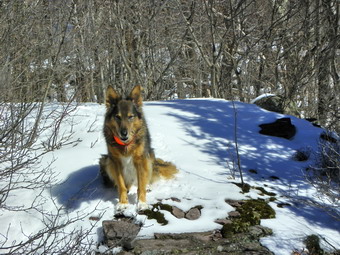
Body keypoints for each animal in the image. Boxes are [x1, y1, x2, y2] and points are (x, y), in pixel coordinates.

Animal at [99, 84, 177, 212]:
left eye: (131, 117)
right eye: (117, 117)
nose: (124, 134)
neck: (126, 145)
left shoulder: (140, 160)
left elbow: (141, 186)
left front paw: (142, 203)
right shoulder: (115, 161)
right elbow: (121, 185)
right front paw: (123, 203)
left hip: (149, 157)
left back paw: (147, 185)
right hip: (106, 161)